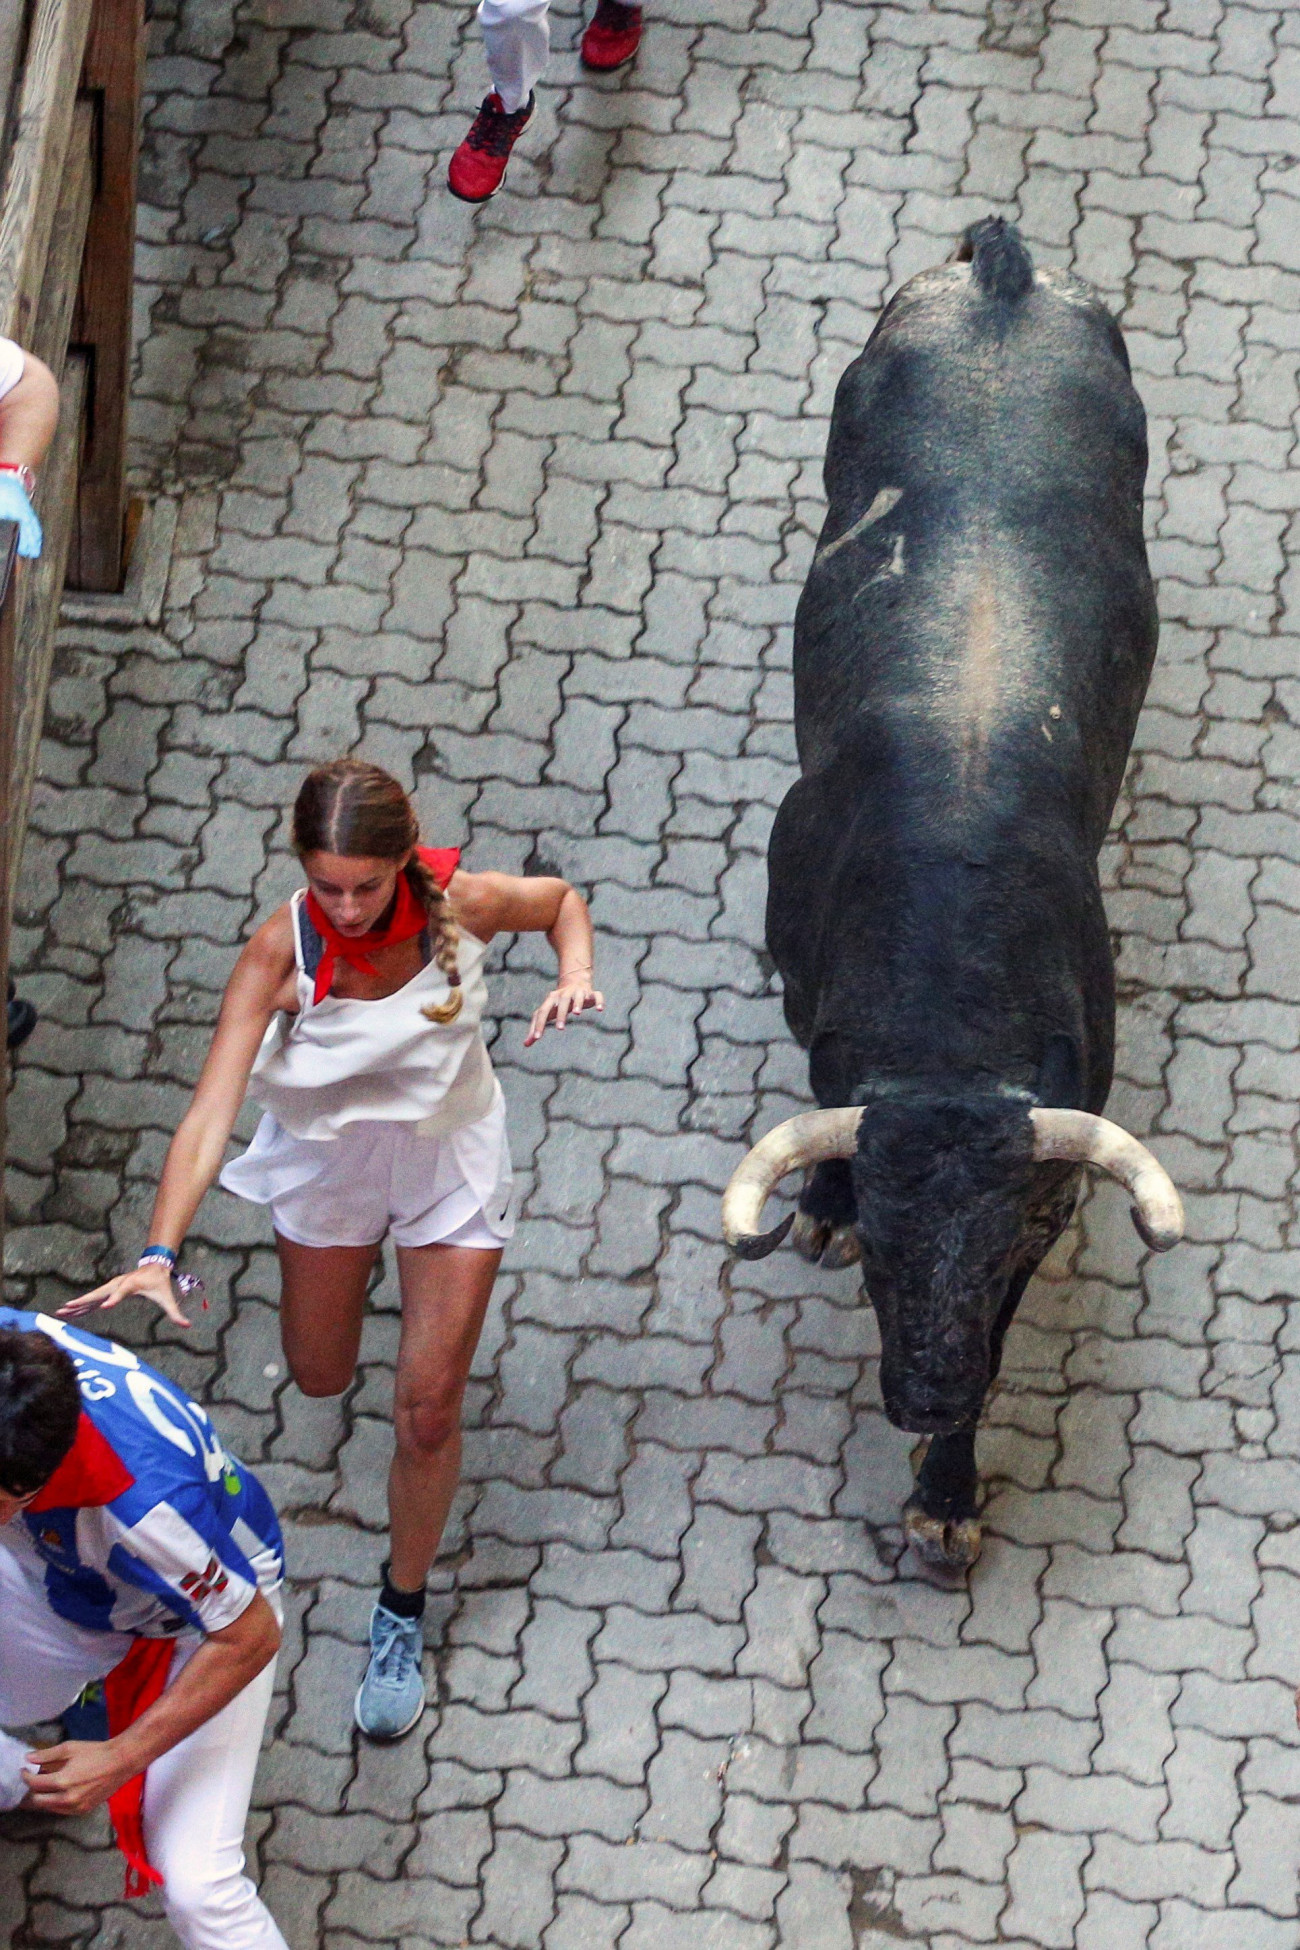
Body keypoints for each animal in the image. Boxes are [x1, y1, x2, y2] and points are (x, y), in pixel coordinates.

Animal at [740, 224, 1169, 1567]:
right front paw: (820, 1201)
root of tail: (1001, 276)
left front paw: (945, 1493)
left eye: (999, 1262)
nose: (929, 1395)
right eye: (882, 1255)